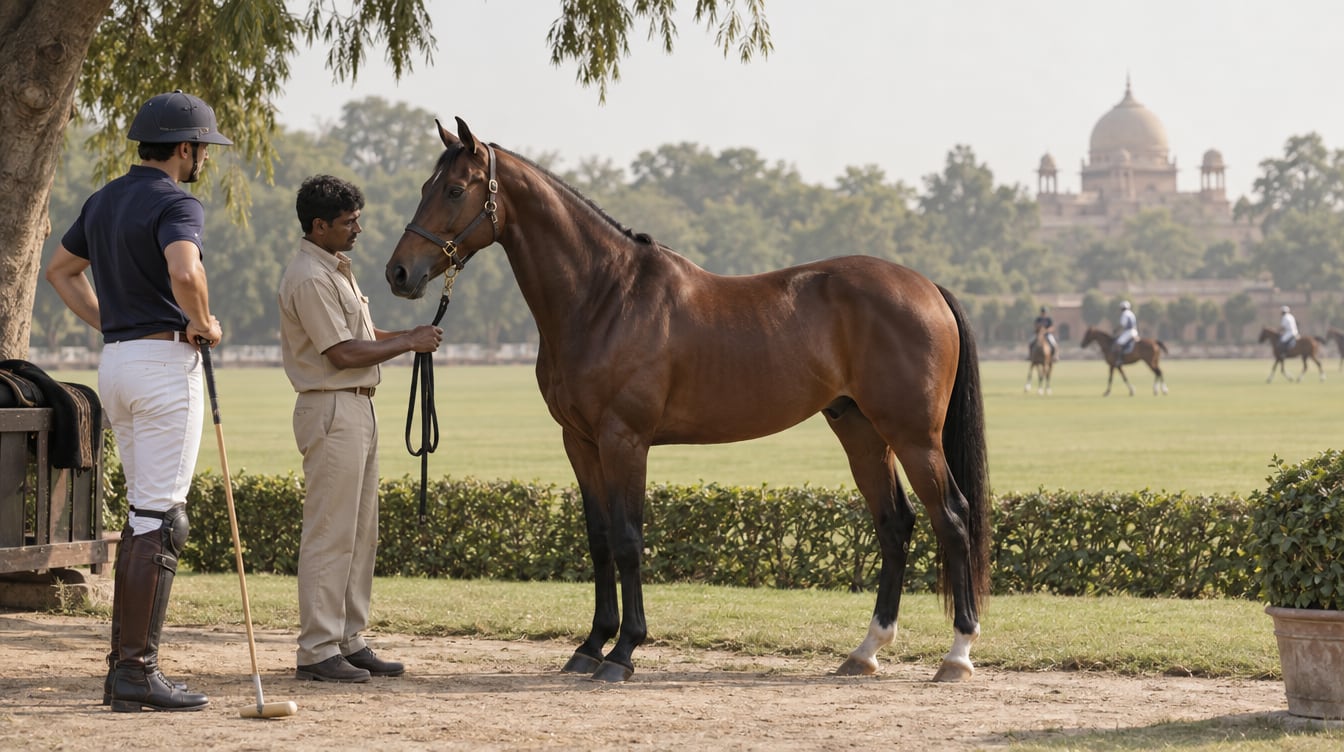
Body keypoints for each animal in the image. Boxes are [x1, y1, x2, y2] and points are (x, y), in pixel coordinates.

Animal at [385, 118, 991, 684]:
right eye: (426, 185)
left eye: (456, 189)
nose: (399, 272)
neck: (604, 297)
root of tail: (927, 287)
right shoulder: (579, 441)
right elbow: (599, 539)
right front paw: (590, 646)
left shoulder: (624, 440)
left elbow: (628, 540)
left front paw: (624, 652)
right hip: (861, 430)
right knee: (895, 524)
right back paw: (865, 652)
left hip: (913, 436)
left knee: (951, 518)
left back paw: (957, 654)